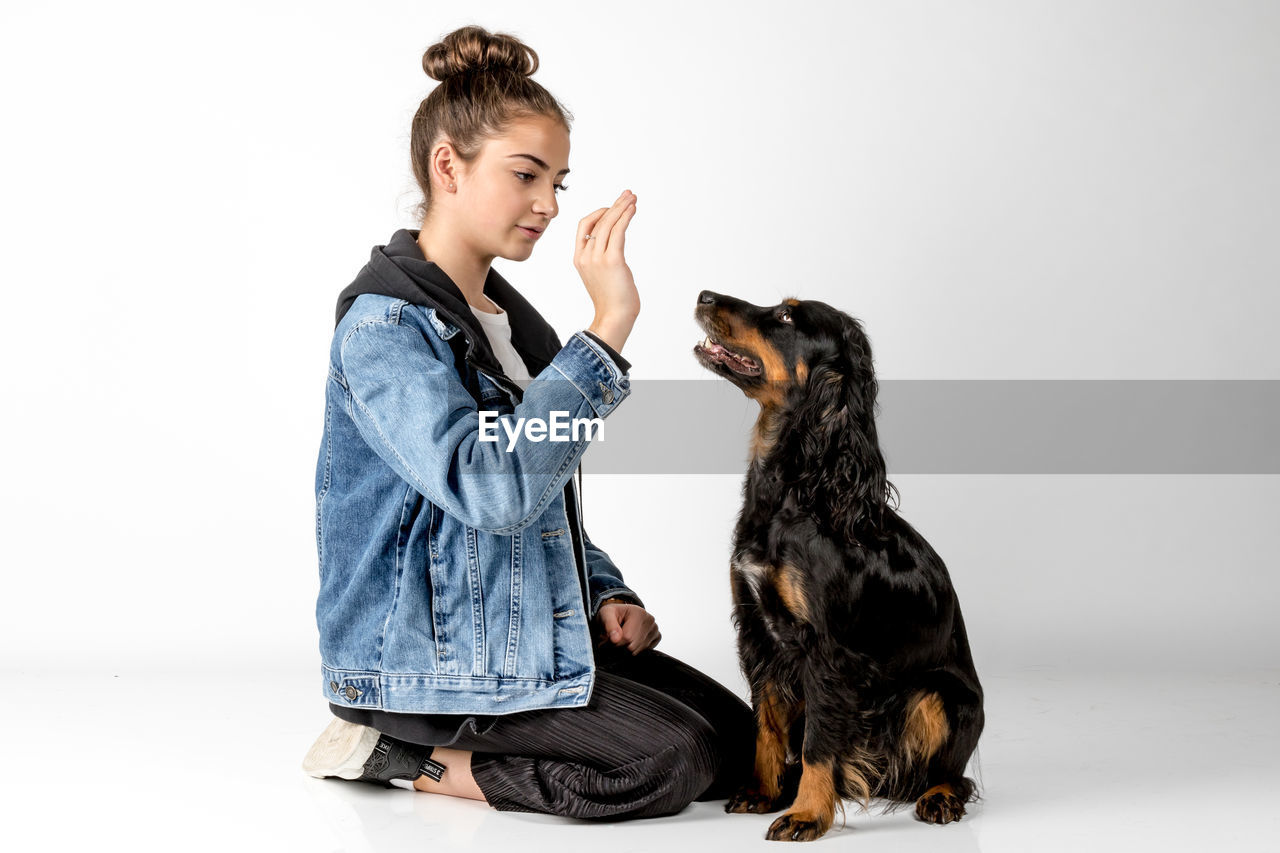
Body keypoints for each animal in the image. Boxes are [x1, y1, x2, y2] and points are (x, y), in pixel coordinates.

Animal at [696, 286, 983, 835]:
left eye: (786, 316)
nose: (703, 295)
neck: (798, 488)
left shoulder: (828, 650)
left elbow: (818, 743)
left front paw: (806, 813)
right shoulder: (758, 632)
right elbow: (766, 724)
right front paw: (762, 792)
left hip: (940, 695)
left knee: (954, 774)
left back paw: (939, 798)